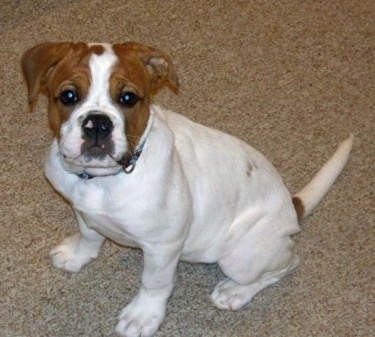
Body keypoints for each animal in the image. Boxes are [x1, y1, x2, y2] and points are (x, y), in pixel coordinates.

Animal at [21, 42, 356, 336]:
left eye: (128, 98)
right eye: (68, 95)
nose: (98, 123)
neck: (101, 180)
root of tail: (290, 203)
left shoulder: (163, 246)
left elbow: (154, 283)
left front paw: (143, 316)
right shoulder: (82, 211)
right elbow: (89, 235)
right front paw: (77, 254)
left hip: (240, 255)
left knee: (286, 265)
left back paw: (235, 292)